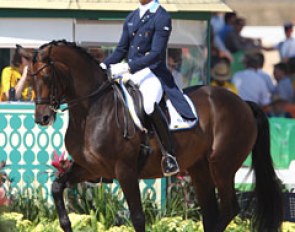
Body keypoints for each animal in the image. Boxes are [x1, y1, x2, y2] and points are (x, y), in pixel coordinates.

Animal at [20, 40, 284, 231]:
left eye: (46, 76)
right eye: (29, 78)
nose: (42, 118)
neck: (92, 109)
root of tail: (243, 103)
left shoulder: (125, 171)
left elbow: (138, 217)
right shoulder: (89, 169)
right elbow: (56, 187)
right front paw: (65, 223)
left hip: (223, 166)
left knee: (229, 209)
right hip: (200, 169)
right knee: (211, 214)